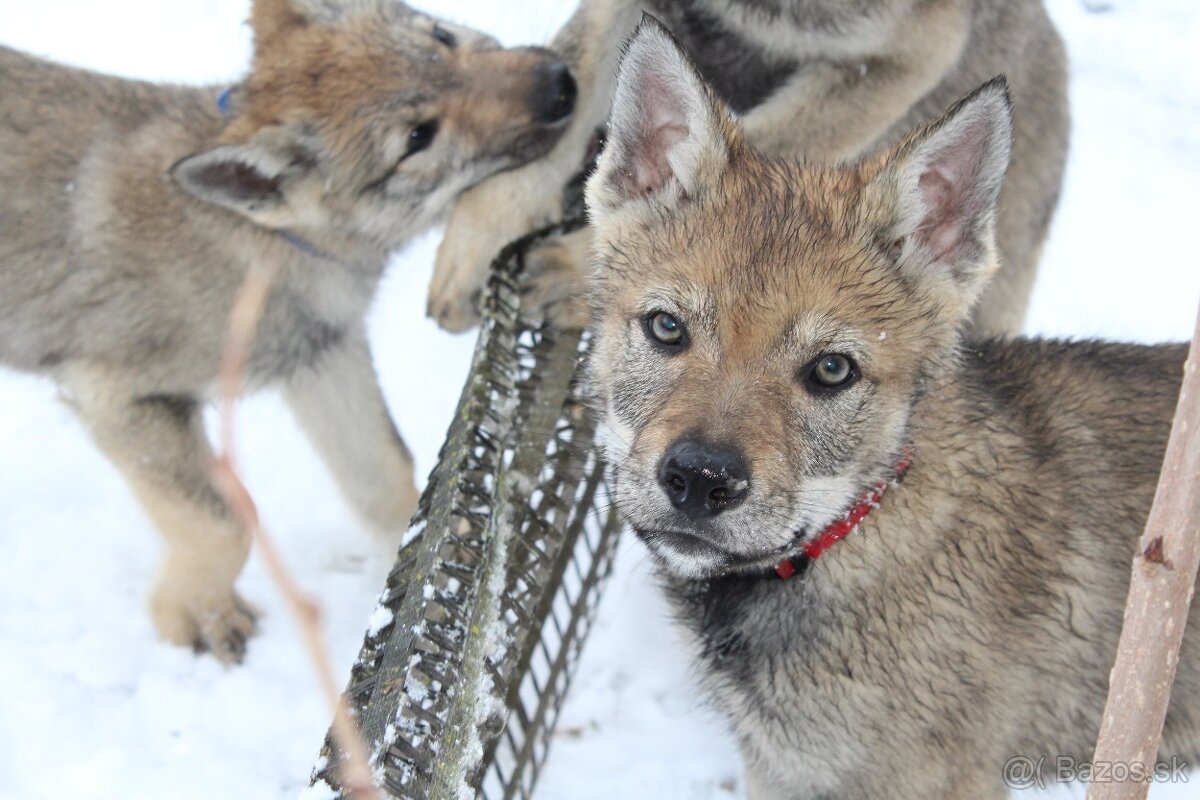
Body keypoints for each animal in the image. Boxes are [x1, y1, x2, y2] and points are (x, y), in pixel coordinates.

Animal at [0, 0, 576, 662]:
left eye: (443, 36)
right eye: (417, 138)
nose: (562, 83)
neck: (267, 242)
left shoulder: (323, 358)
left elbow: (383, 471)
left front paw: (422, 591)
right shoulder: (115, 397)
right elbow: (223, 523)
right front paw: (196, 617)